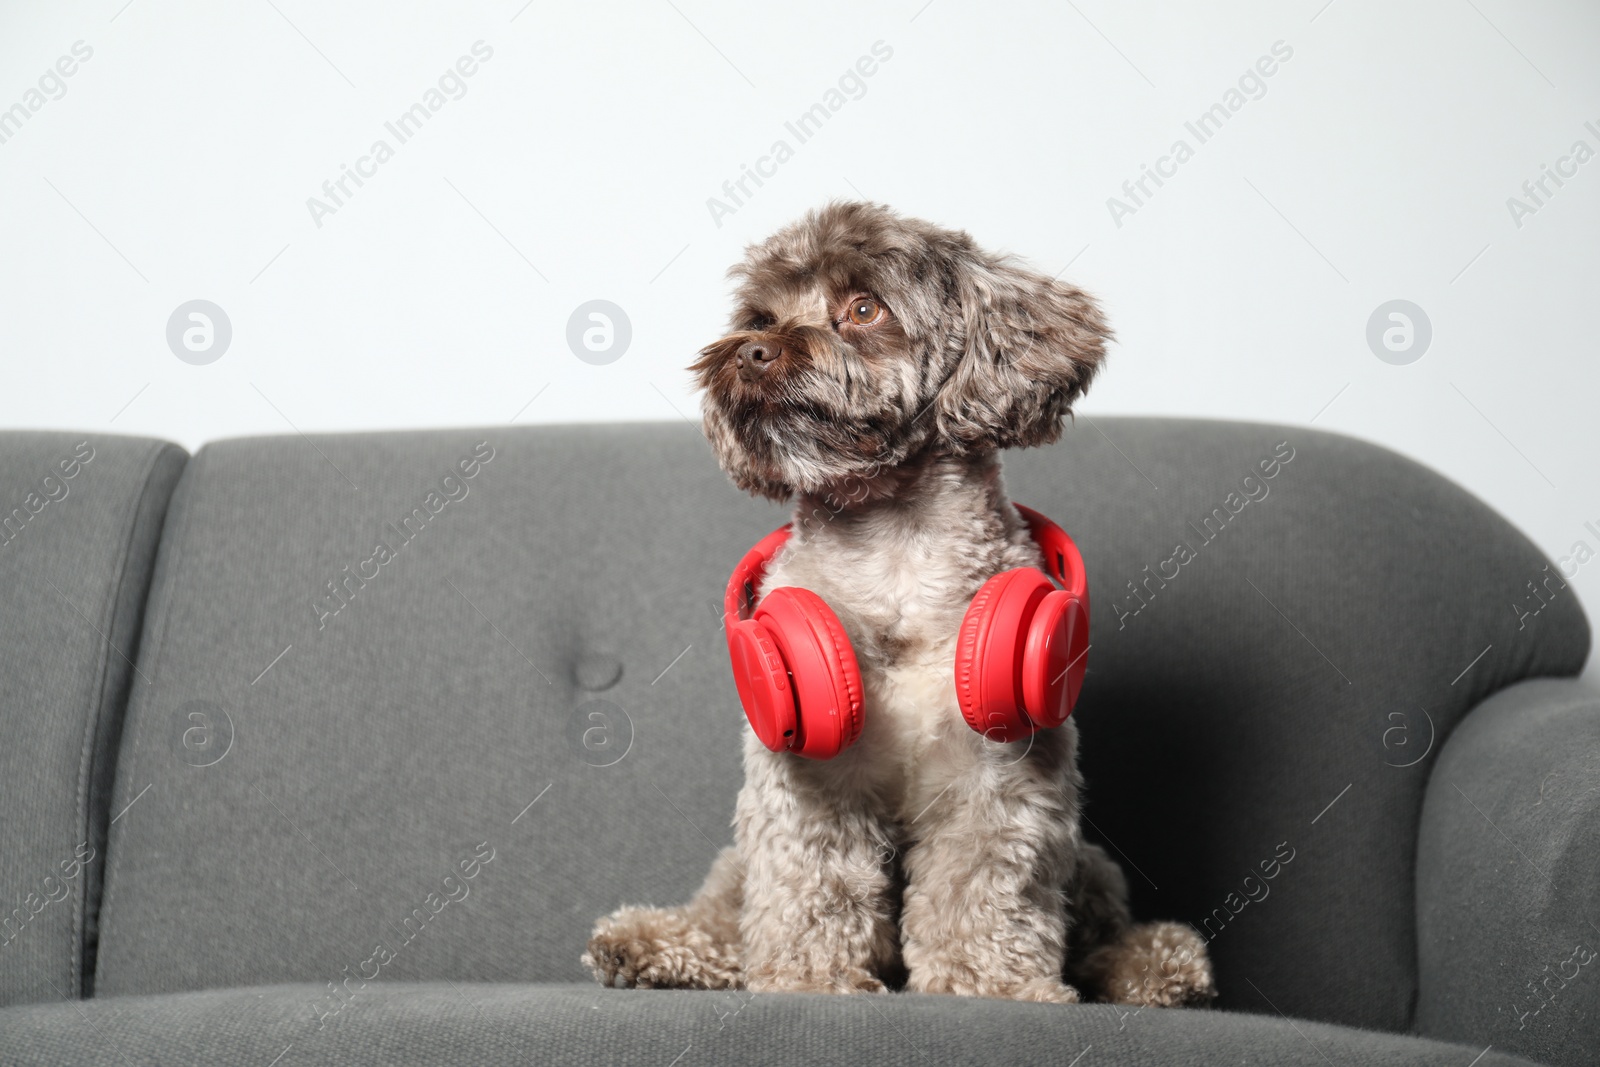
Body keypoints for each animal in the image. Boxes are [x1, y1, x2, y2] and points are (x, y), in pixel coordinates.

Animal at [588, 202, 1209, 1011]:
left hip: (1090, 862)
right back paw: (648, 943)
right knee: (725, 912)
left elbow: (983, 892)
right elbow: (811, 887)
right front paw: (811, 980)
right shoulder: (809, 783)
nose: (750, 351)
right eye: (761, 316)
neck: (893, 557)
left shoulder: (1001, 781)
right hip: (737, 857)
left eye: (863, 309)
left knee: (1104, 927)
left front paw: (988, 984)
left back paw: (1157, 964)